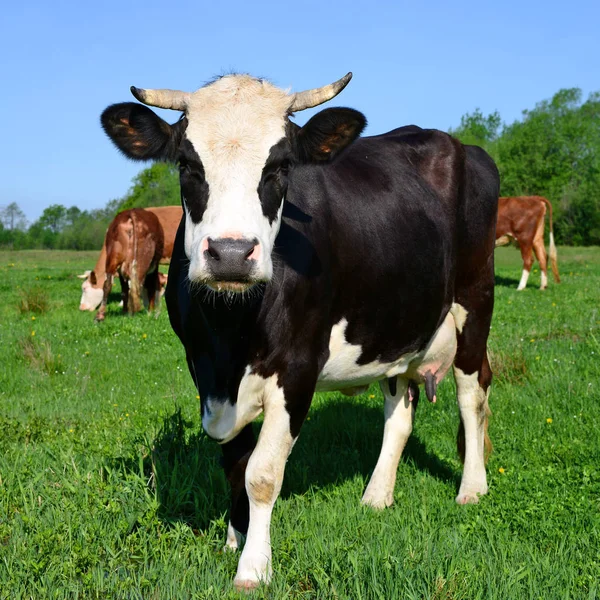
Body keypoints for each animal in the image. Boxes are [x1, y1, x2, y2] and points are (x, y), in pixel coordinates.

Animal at [99, 71, 502, 592]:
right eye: (187, 162)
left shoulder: (297, 368)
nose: (231, 253)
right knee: (399, 411)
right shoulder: (203, 371)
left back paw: (472, 487)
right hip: (394, 325)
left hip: (475, 298)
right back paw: (376, 496)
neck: (230, 336)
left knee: (472, 394)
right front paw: (235, 537)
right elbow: (234, 461)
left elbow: (262, 472)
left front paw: (253, 567)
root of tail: (454, 143)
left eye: (281, 166)